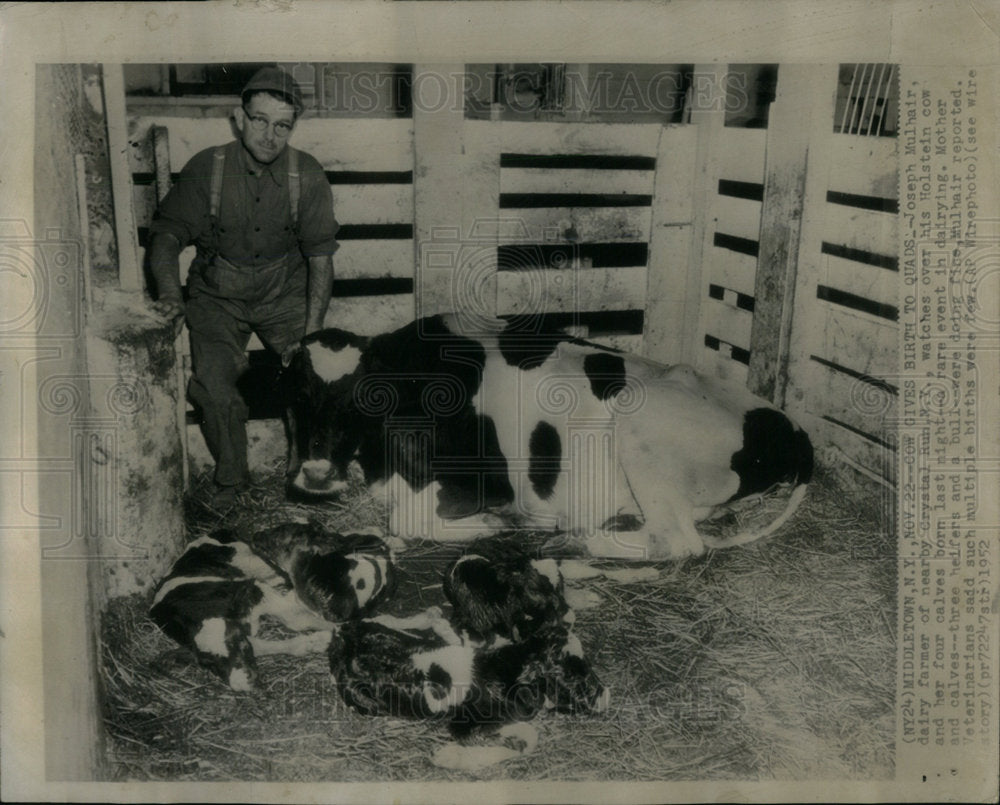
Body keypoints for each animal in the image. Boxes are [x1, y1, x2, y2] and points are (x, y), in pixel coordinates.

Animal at [150, 524, 396, 688]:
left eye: (238, 643)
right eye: (208, 664)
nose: (244, 685)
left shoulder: (256, 590)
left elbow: (296, 616)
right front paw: (315, 642)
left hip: (250, 558)